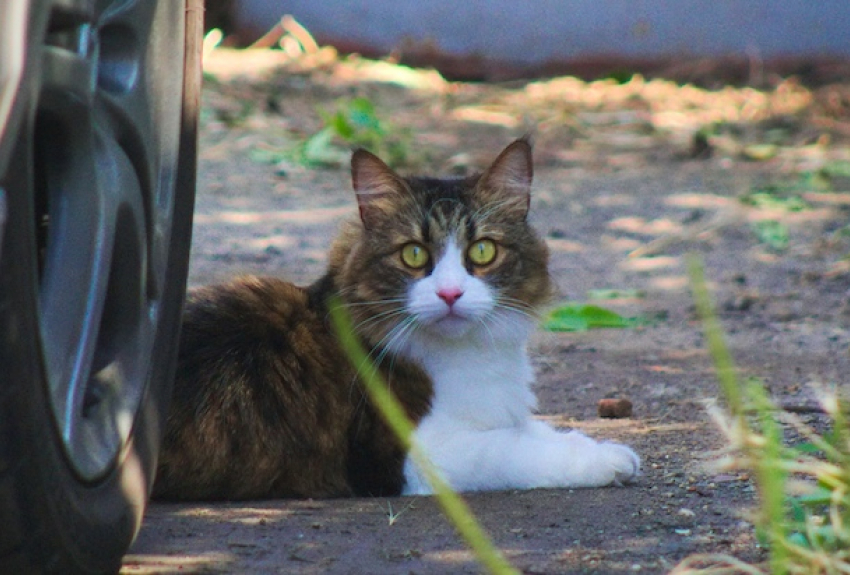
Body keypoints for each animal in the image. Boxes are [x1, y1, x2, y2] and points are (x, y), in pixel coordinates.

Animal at [156, 138, 640, 500]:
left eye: (483, 250)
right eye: (414, 255)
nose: (450, 293)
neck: (470, 355)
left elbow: (538, 430)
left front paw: (613, 450)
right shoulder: (415, 455)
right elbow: (514, 450)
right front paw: (601, 461)